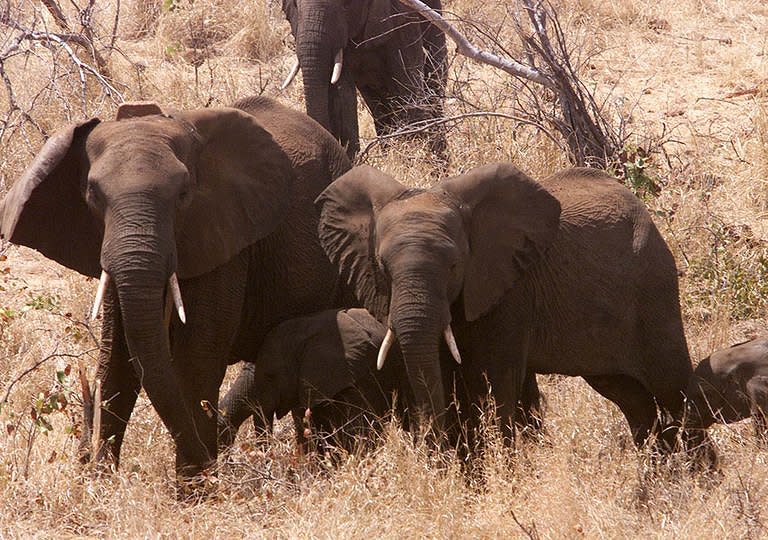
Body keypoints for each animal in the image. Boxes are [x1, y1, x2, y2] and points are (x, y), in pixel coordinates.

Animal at [0, 94, 352, 486]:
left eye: (183, 194)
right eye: (93, 194)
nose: (212, 469)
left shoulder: (224, 239)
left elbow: (195, 362)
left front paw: (196, 490)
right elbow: (118, 360)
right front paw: (103, 485)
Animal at [316, 162, 716, 462]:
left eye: (455, 267)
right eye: (383, 267)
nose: (433, 452)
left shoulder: (510, 290)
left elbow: (494, 382)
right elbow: (445, 372)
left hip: (653, 286)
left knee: (671, 386)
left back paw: (699, 479)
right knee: (631, 398)